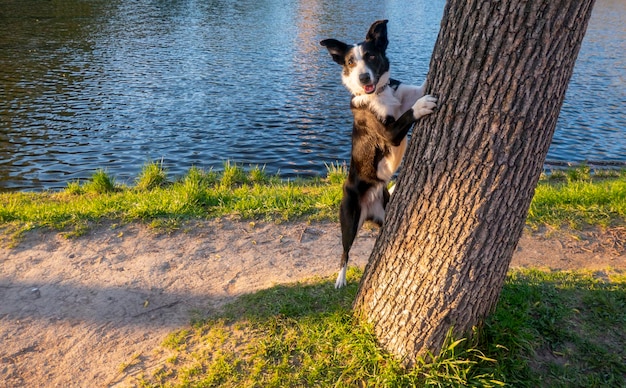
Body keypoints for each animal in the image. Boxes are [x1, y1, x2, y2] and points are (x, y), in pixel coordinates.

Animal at [320, 21, 436, 288]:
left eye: (371, 56)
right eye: (351, 61)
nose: (363, 77)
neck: (379, 94)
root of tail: (370, 208)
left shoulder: (402, 94)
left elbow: (417, 88)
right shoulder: (389, 132)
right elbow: (408, 114)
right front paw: (422, 106)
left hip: (387, 213)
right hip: (349, 219)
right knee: (344, 252)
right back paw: (340, 279)